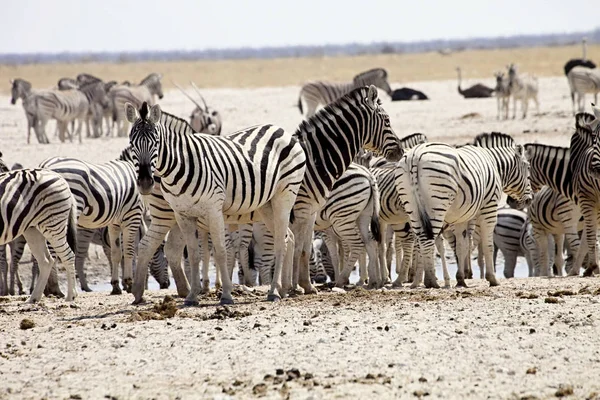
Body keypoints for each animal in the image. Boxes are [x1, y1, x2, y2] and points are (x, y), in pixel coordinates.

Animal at [0, 153, 78, 304]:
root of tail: (60, 177)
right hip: (32, 229)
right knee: (46, 261)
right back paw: (33, 298)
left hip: (53, 223)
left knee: (67, 255)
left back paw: (70, 296)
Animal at [38, 156, 144, 294]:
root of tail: (46, 165)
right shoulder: (132, 216)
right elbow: (129, 252)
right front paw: (129, 283)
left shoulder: (114, 223)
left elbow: (116, 253)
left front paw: (116, 286)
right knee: (54, 250)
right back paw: (55, 288)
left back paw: (47, 289)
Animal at [125, 101, 304, 304]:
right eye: (131, 144)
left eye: (156, 143)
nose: (145, 183)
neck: (181, 165)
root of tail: (281, 129)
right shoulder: (182, 214)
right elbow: (194, 254)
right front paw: (193, 296)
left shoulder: (213, 210)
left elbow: (220, 252)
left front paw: (226, 294)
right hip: (266, 205)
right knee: (288, 237)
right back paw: (284, 288)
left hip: (285, 195)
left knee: (281, 241)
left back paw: (274, 291)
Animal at [396, 133, 532, 290]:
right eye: (528, 168)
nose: (529, 201)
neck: (494, 165)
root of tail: (415, 156)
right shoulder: (489, 207)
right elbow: (488, 245)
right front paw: (492, 279)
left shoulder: (462, 216)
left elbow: (461, 246)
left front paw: (461, 279)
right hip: (437, 204)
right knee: (427, 240)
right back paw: (431, 281)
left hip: (411, 206)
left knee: (421, 239)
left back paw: (423, 280)